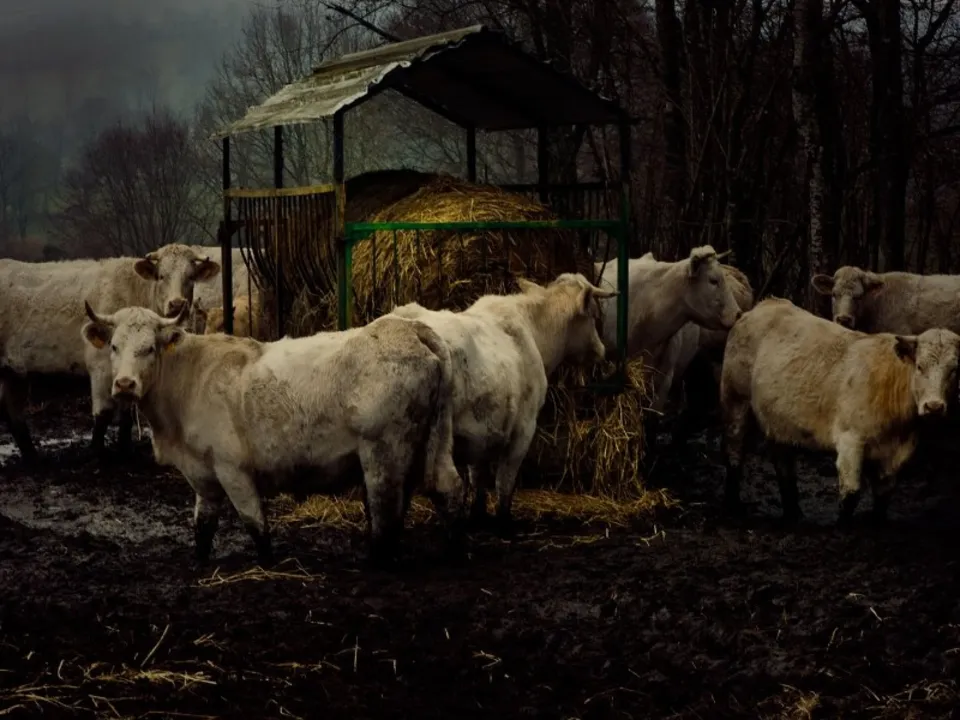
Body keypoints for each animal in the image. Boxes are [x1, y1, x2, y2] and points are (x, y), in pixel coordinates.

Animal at [0, 244, 221, 463]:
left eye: (191, 277)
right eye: (160, 276)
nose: (176, 304)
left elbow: (126, 412)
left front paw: (124, 450)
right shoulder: (100, 366)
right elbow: (104, 413)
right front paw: (97, 454)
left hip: (13, 370)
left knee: (12, 410)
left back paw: (32, 457)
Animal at [80, 301, 466, 568]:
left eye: (149, 348)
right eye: (114, 346)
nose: (124, 384)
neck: (190, 379)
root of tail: (410, 328)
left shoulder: (233, 469)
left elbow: (255, 524)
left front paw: (266, 564)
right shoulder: (203, 475)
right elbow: (203, 525)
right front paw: (200, 562)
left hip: (381, 451)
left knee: (386, 509)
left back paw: (376, 561)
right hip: (433, 442)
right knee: (447, 488)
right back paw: (453, 552)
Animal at [389, 272, 617, 537]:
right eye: (593, 315)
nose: (602, 350)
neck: (533, 333)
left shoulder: (480, 432)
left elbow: (478, 476)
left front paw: (478, 516)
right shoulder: (523, 429)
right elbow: (504, 482)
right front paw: (503, 522)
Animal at [720, 297, 960, 526]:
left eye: (954, 370)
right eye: (920, 366)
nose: (934, 406)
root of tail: (766, 304)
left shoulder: (898, 453)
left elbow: (884, 494)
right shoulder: (850, 439)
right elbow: (851, 493)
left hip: (779, 419)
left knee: (783, 463)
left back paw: (793, 514)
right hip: (736, 401)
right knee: (734, 452)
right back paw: (733, 506)